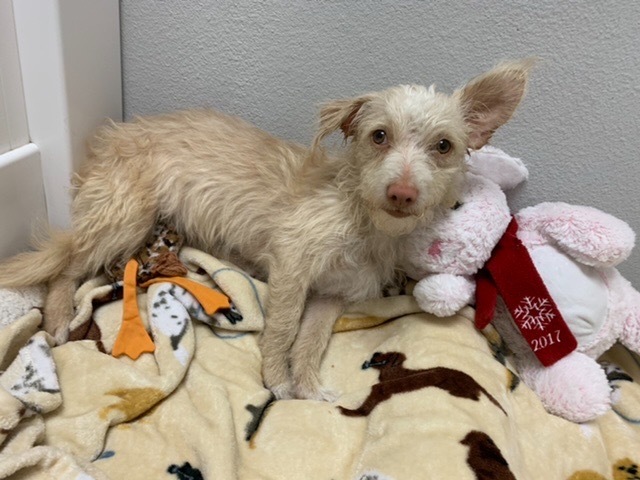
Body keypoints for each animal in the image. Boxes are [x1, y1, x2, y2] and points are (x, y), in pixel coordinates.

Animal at [0, 58, 532, 400]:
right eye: (379, 136)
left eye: (444, 146)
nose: (401, 193)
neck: (361, 219)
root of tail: (111, 138)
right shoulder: (293, 265)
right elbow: (282, 328)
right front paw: (276, 377)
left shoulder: (332, 296)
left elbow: (312, 341)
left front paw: (307, 387)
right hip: (126, 216)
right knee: (66, 266)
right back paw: (56, 317)